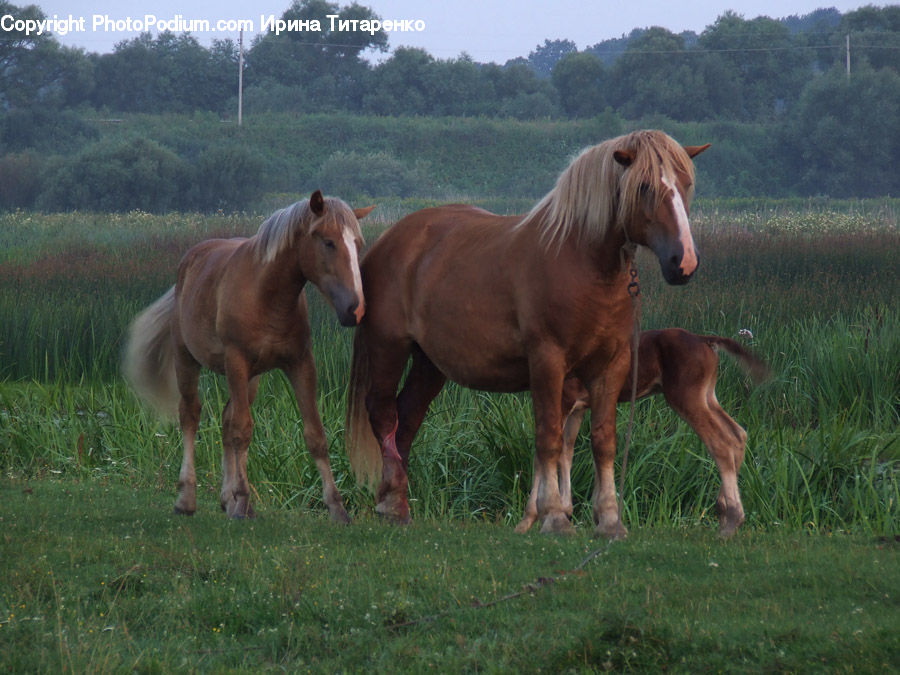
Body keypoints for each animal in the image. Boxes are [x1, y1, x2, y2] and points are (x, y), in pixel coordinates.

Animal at [124, 191, 374, 521]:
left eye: (357, 244)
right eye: (328, 242)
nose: (355, 309)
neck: (266, 295)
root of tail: (189, 262)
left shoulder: (300, 363)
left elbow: (315, 434)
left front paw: (337, 508)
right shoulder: (236, 361)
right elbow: (242, 430)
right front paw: (242, 500)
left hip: (250, 379)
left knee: (227, 420)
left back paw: (227, 499)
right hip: (188, 360)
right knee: (191, 415)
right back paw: (187, 498)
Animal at [345, 130, 709, 537]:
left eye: (685, 183)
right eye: (644, 186)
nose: (683, 262)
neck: (580, 262)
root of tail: (387, 239)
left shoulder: (611, 367)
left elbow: (604, 442)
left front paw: (610, 520)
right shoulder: (548, 362)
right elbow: (548, 438)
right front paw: (554, 516)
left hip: (429, 364)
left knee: (406, 421)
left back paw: (398, 505)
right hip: (388, 348)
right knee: (383, 416)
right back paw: (388, 501)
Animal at [516, 328, 771, 538]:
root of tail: (706, 341)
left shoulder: (565, 400)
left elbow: (544, 452)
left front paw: (529, 520)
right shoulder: (578, 407)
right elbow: (567, 451)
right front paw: (570, 511)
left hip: (686, 395)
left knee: (722, 441)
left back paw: (732, 520)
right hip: (707, 395)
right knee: (738, 434)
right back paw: (725, 514)